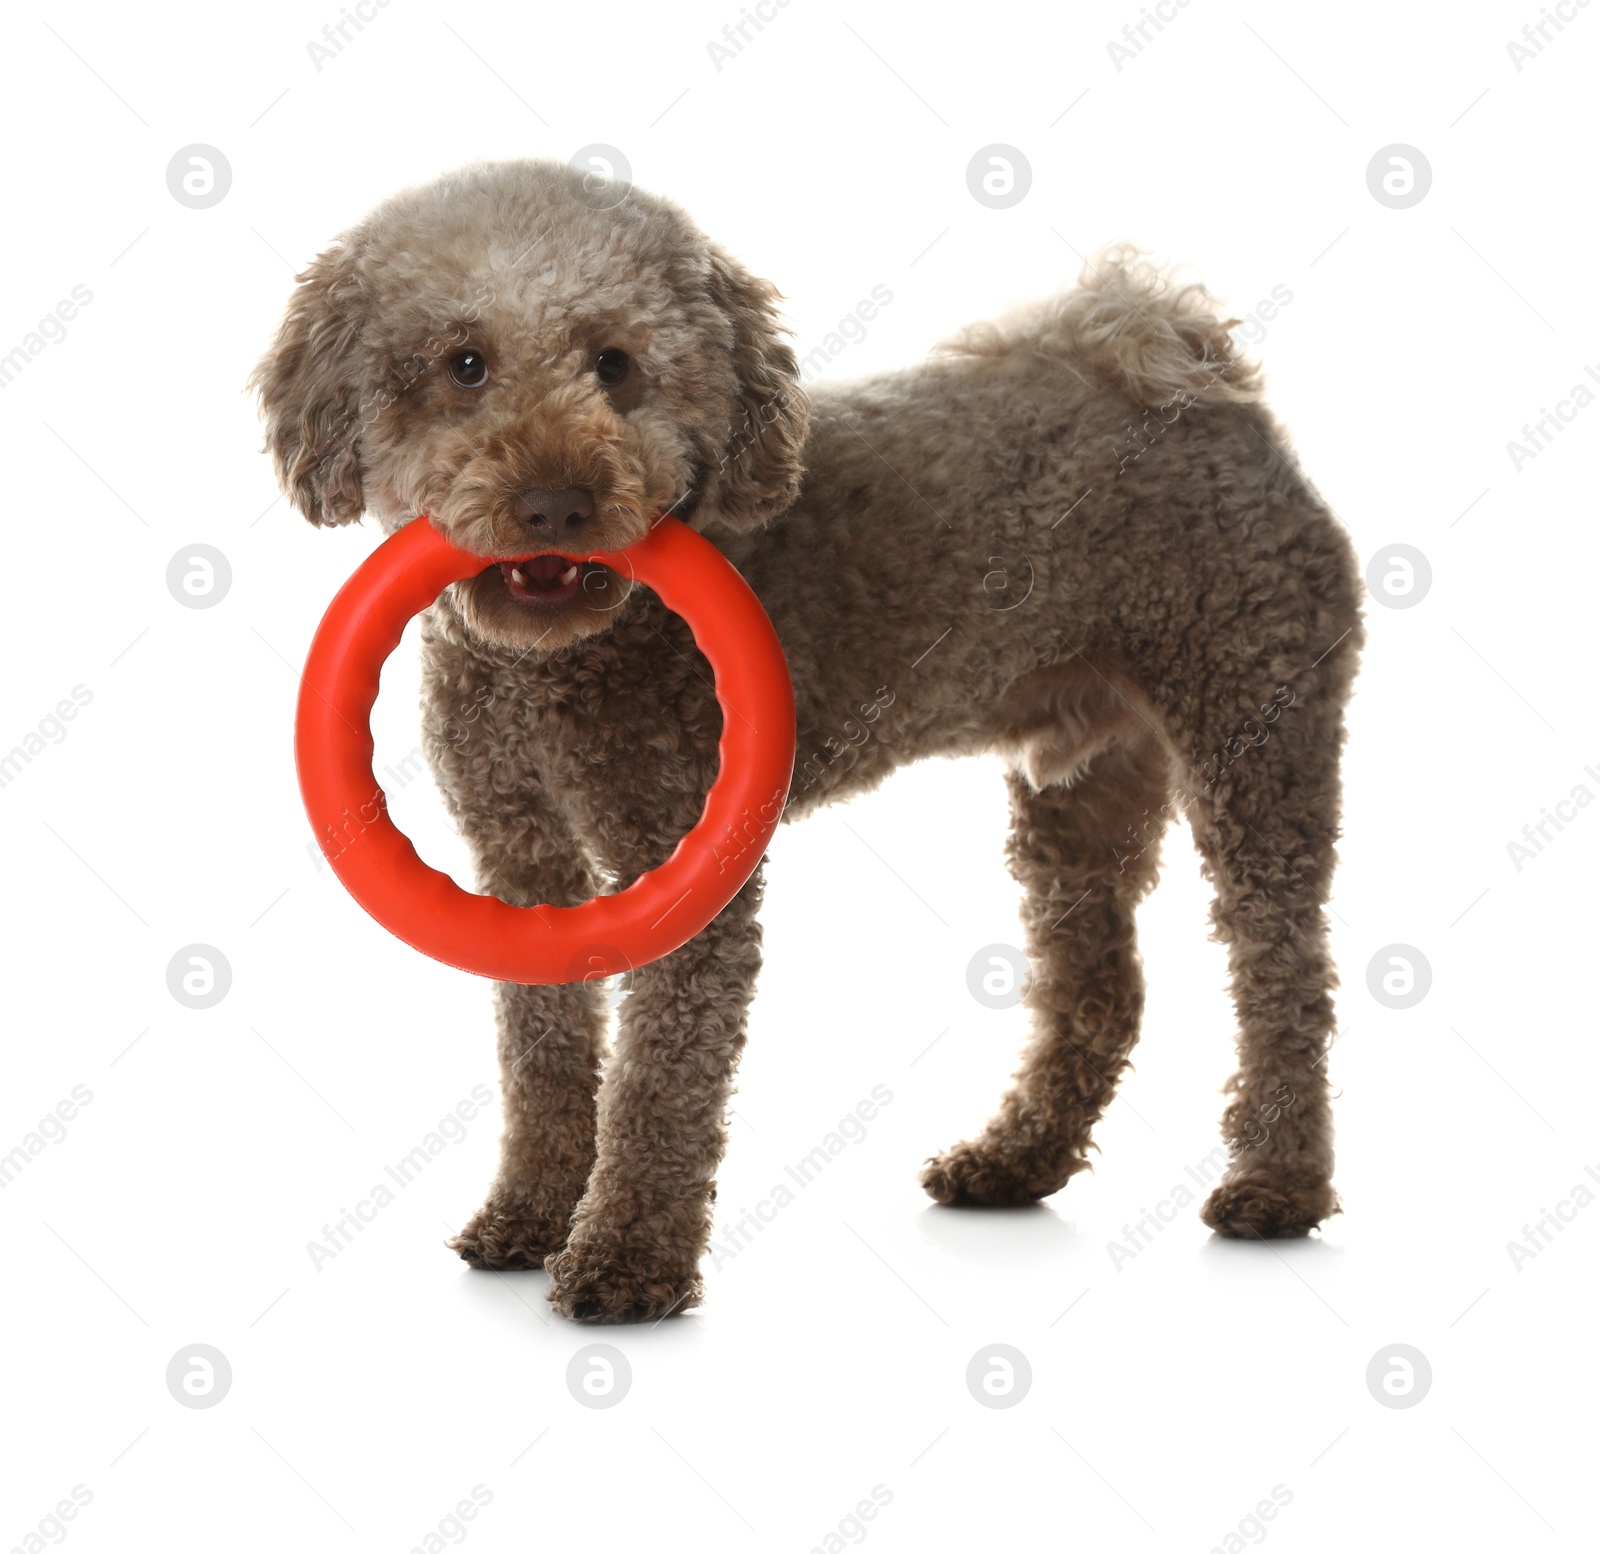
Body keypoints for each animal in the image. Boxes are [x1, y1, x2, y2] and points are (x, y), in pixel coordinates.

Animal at [249, 157, 1363, 1325]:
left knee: (1284, 972)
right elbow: (543, 1053)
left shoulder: (683, 866)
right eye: (463, 364)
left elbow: (662, 1081)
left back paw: (1277, 1187)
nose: (556, 502)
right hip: (1080, 788)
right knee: (1100, 987)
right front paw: (528, 1214)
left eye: (616, 365)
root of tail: (1192, 372)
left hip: (1256, 732)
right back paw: (1014, 1162)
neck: (554, 665)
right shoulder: (522, 866)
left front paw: (627, 1260)